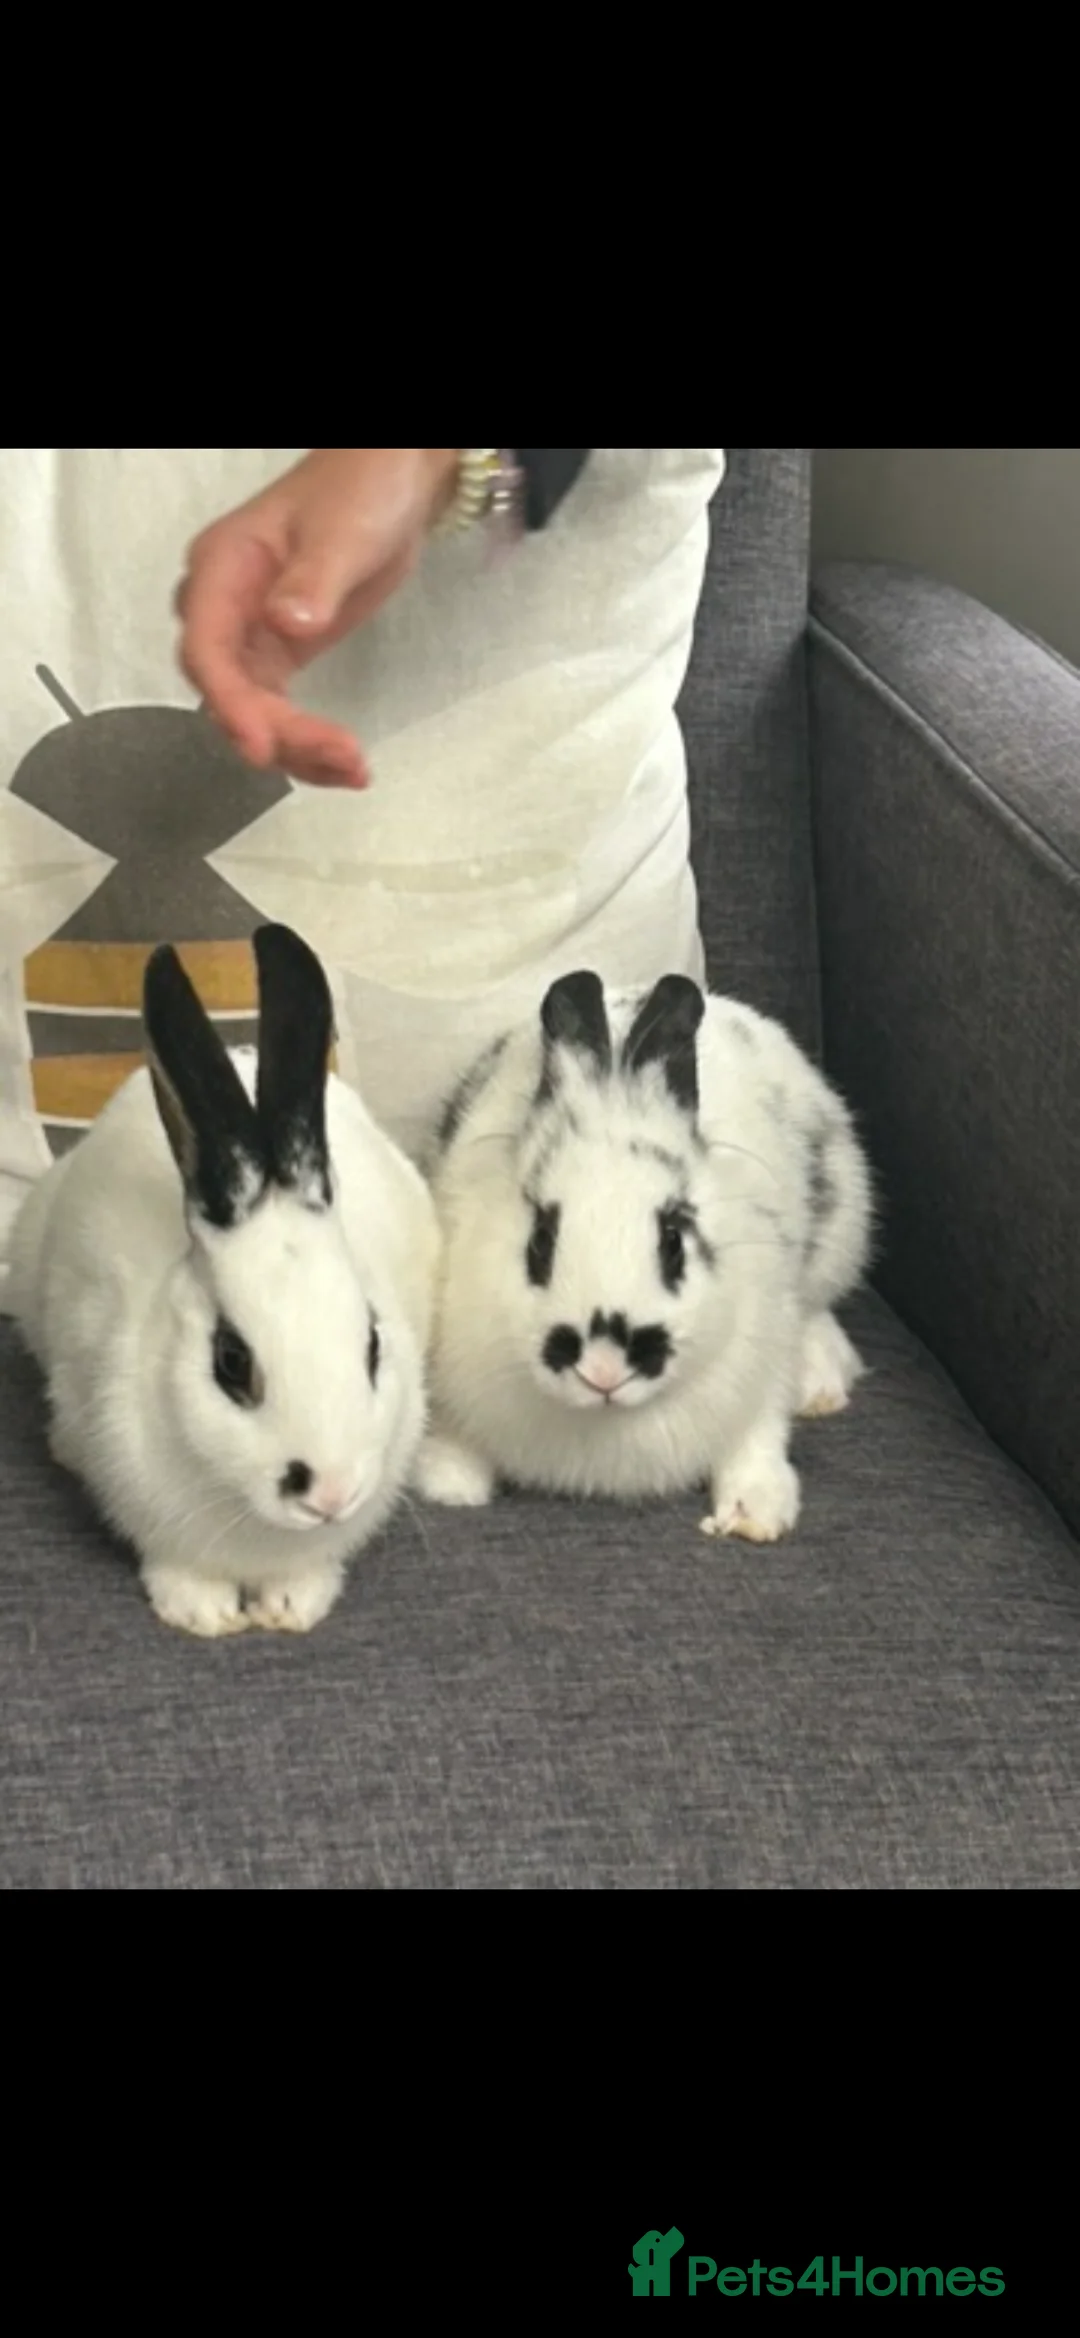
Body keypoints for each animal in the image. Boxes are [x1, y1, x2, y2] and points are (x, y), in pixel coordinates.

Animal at [7, 924, 440, 1637]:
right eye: (232, 1362)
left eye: (374, 1344)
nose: (332, 1494)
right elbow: (177, 1568)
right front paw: (202, 1614)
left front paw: (293, 1607)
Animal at [415, 970, 872, 1542]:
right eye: (540, 1241)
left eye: (673, 1240)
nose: (604, 1367)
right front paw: (450, 1485)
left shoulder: (758, 1370)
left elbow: (756, 1440)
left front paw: (755, 1513)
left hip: (839, 1231)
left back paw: (820, 1387)